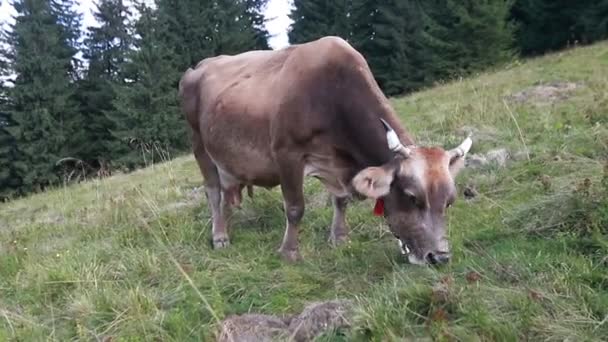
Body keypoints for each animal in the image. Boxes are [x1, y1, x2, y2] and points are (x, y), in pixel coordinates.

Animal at [178, 36, 472, 266]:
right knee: (213, 192)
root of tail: (199, 66)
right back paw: (220, 235)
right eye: (412, 197)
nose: (440, 257)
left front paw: (339, 238)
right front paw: (289, 252)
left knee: (226, 193)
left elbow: (341, 200)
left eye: (449, 200)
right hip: (199, 144)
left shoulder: (336, 161)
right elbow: (295, 208)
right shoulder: (286, 153)